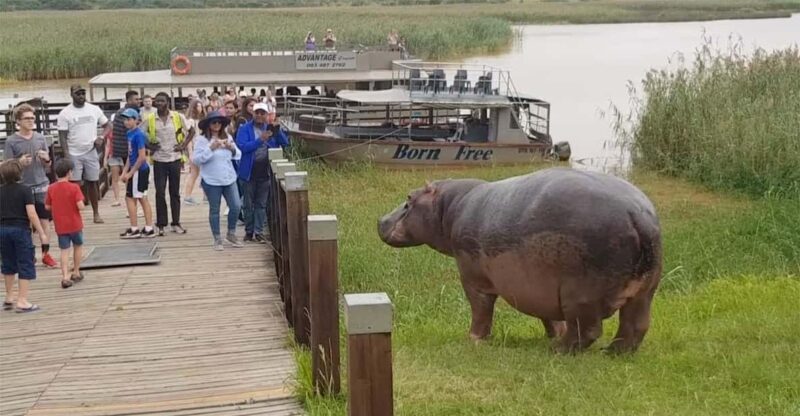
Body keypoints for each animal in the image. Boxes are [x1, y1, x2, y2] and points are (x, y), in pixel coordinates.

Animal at [378, 168, 662, 353]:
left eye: (409, 199)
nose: (380, 220)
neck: (449, 207)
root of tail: (637, 215)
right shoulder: (539, 288)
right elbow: (549, 317)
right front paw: (552, 335)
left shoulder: (473, 278)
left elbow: (480, 309)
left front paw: (473, 339)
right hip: (645, 292)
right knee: (635, 326)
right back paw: (612, 353)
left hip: (580, 294)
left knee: (588, 329)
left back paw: (558, 351)